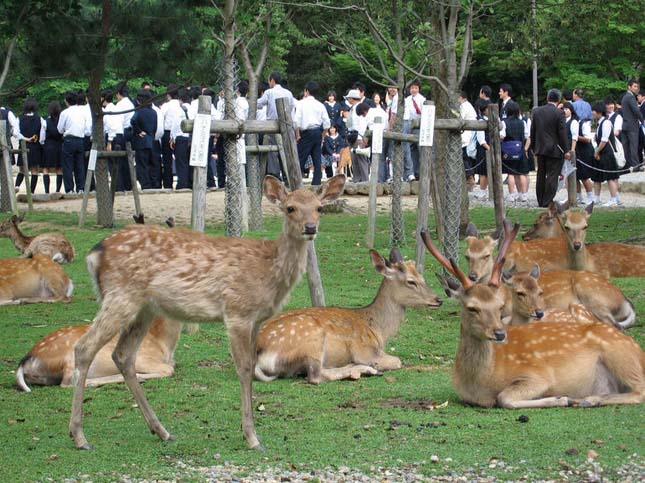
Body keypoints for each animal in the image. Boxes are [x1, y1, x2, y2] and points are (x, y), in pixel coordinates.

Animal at [15, 318, 181, 394]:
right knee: (68, 382)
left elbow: (173, 364)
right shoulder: (140, 358)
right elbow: (169, 369)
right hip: (71, 357)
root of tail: (25, 362)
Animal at [67, 175, 344, 454]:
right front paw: (252, 437)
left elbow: (252, 364)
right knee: (84, 348)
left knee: (123, 355)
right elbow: (244, 368)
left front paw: (251, 433)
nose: (310, 227)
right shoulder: (237, 311)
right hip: (120, 297)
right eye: (290, 208)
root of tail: (94, 254)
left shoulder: (257, 319)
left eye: (319, 208)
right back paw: (79, 436)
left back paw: (162, 431)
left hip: (143, 308)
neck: (269, 272)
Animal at [253, 248, 442, 384]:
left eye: (422, 277)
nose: (438, 299)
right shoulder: (365, 350)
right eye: (411, 281)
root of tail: (258, 354)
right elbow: (397, 360)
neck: (379, 331)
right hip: (312, 341)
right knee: (316, 376)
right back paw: (360, 370)